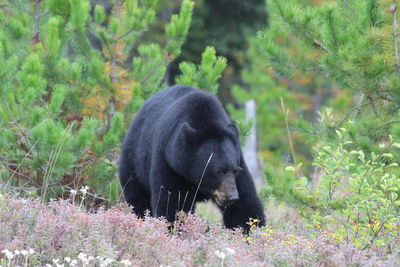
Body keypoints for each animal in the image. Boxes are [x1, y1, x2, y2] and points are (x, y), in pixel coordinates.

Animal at [121, 85, 266, 231]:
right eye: (219, 171)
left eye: (235, 170)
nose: (232, 197)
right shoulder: (169, 162)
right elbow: (172, 202)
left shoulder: (239, 160)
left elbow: (246, 203)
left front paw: (251, 229)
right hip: (134, 162)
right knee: (138, 197)